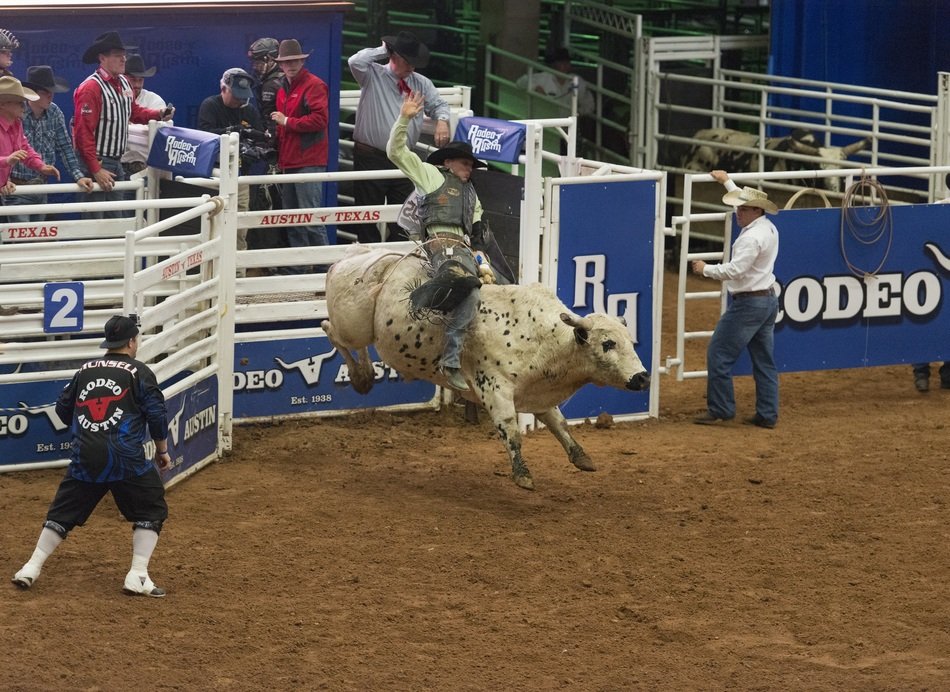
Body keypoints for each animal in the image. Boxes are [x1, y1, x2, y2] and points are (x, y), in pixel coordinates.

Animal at [324, 246, 652, 490]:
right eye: (608, 343)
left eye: (629, 341)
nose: (642, 377)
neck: (543, 338)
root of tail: (349, 258)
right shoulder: (495, 389)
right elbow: (511, 430)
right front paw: (522, 475)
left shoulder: (537, 394)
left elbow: (558, 423)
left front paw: (581, 457)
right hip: (352, 323)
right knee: (331, 330)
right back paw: (361, 376)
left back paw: (365, 376)